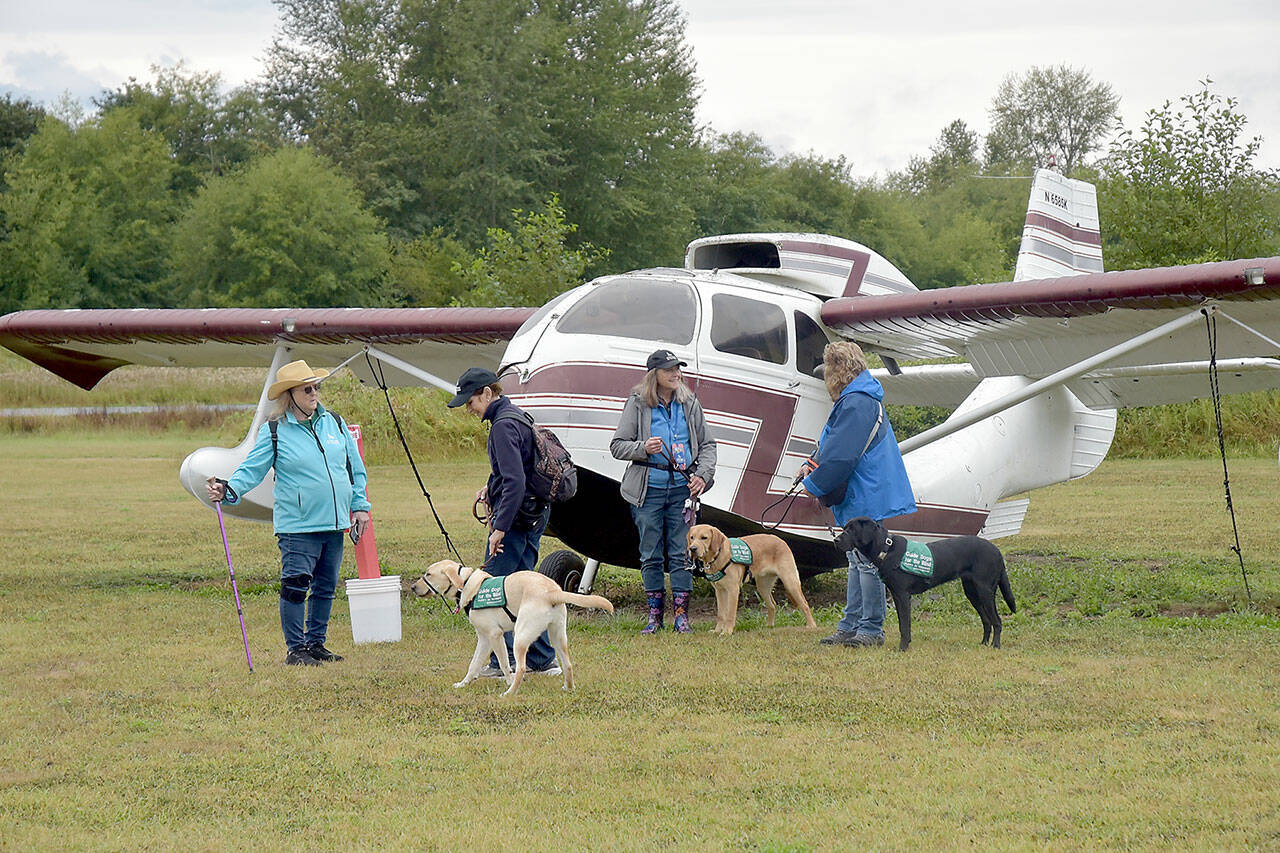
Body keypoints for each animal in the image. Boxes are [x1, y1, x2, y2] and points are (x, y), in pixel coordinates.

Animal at [407, 558, 611, 691]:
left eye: (428, 574)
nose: (412, 587)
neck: (466, 584)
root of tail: (553, 592)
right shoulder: (483, 639)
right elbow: (473, 664)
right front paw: (463, 684)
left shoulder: (495, 636)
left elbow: (505, 664)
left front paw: (507, 681)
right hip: (557, 636)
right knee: (567, 664)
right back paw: (568, 688)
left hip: (520, 637)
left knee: (520, 667)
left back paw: (510, 692)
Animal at [686, 522, 814, 635]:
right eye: (692, 537)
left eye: (704, 538)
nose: (692, 548)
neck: (717, 557)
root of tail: (780, 540)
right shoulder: (719, 591)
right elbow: (721, 614)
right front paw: (717, 631)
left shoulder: (733, 590)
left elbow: (730, 614)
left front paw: (727, 632)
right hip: (763, 587)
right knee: (773, 605)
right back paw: (769, 626)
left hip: (790, 581)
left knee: (804, 604)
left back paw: (811, 626)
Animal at [834, 514, 1013, 648]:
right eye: (844, 529)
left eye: (852, 530)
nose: (836, 540)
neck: (886, 550)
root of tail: (997, 551)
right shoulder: (897, 596)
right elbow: (904, 624)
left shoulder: (902, 595)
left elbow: (904, 626)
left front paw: (902, 648)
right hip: (972, 592)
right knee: (986, 621)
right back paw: (983, 644)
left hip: (985, 591)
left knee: (997, 621)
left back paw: (995, 646)